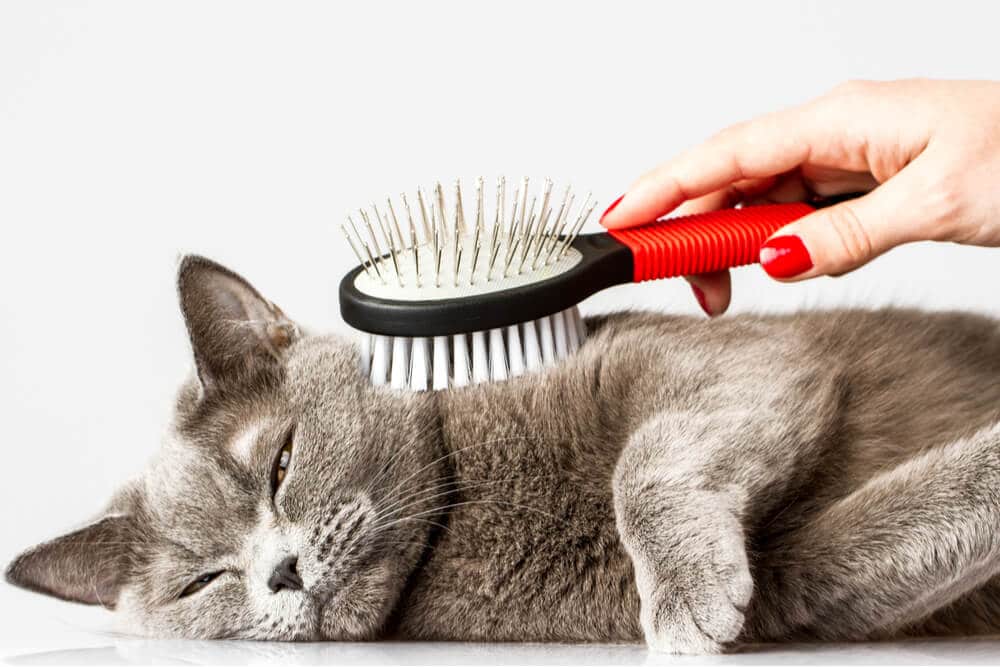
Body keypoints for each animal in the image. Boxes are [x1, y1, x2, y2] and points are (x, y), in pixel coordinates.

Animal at [7, 254, 1000, 652]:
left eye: (279, 465)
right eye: (201, 583)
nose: (281, 571)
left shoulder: (732, 360)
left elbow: (646, 459)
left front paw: (684, 593)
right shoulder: (805, 582)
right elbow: (889, 537)